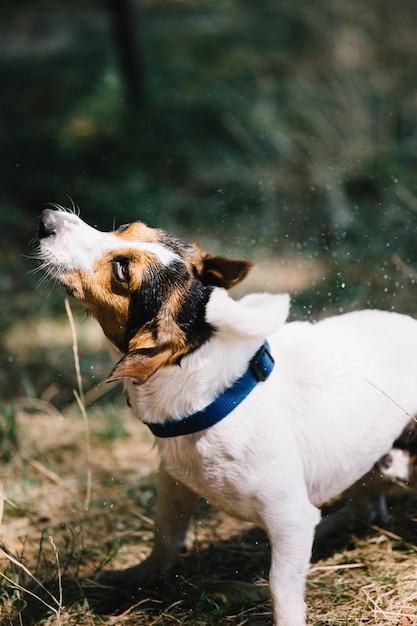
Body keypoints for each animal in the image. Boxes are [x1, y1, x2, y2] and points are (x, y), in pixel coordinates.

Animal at [35, 206, 416, 624]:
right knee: (367, 506)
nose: (47, 218)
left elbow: (281, 585)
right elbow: (165, 533)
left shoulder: (289, 519)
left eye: (121, 271)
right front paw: (140, 574)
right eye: (124, 228)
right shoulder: (174, 482)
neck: (216, 399)